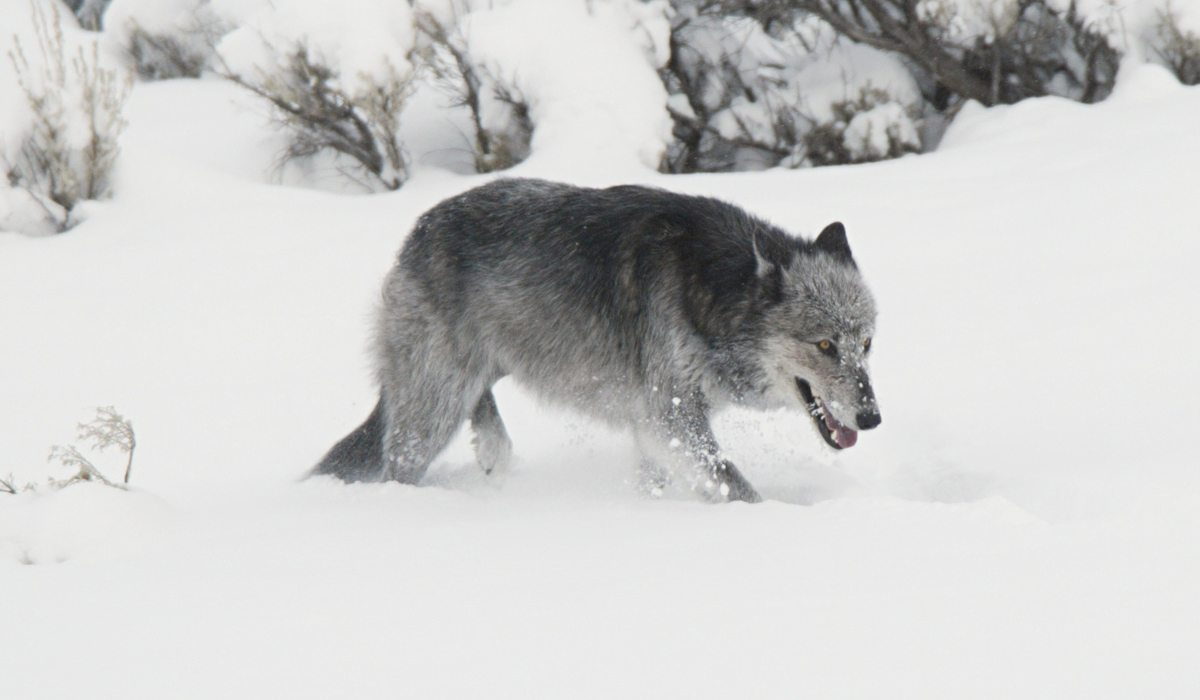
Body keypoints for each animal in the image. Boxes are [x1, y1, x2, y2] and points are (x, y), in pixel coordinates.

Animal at [314, 177, 878, 501]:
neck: (714, 292)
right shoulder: (669, 419)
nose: (872, 418)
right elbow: (737, 487)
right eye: (824, 346)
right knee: (399, 465)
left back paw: (494, 450)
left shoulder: (659, 428)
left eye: (867, 344)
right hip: (432, 411)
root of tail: (417, 232)